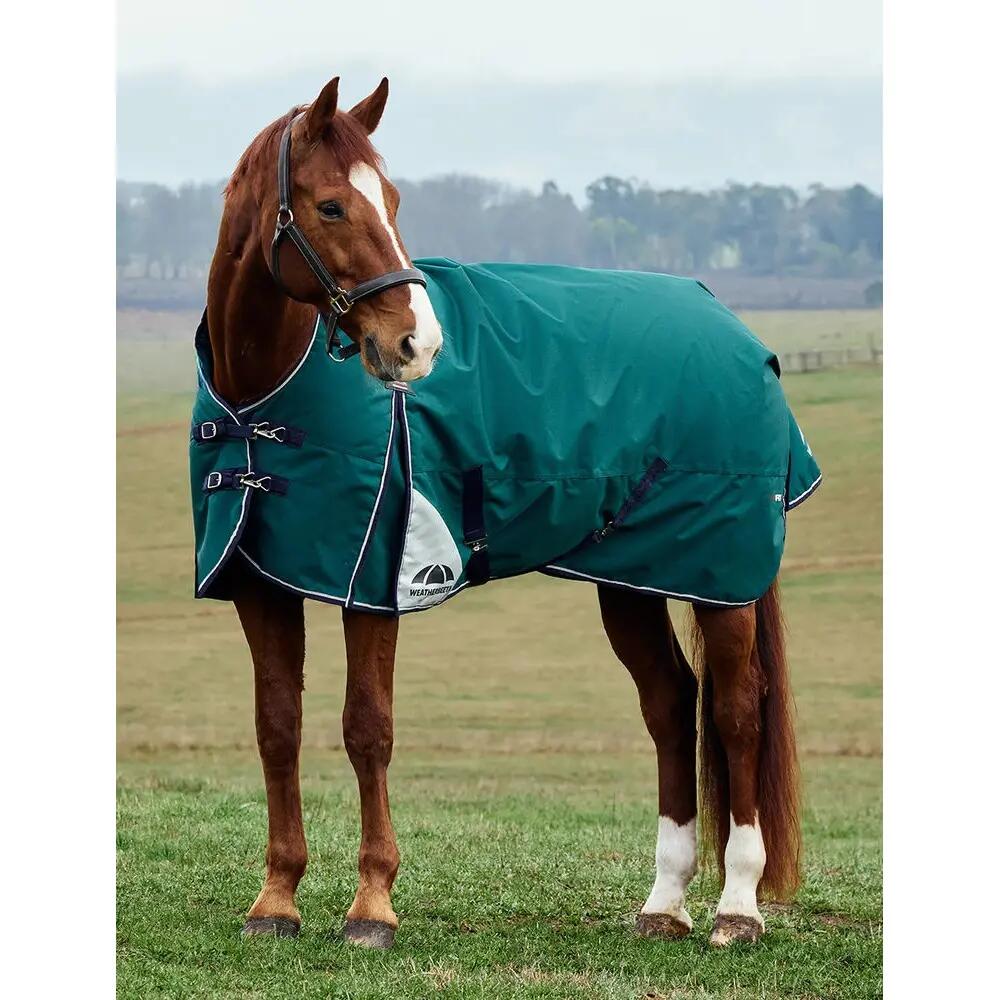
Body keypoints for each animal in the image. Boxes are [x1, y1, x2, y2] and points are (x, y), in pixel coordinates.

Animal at [201, 75, 802, 949]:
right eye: (331, 206)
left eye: (393, 199)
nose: (416, 345)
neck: (263, 399)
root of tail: (734, 327)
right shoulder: (261, 584)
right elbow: (277, 725)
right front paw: (276, 900)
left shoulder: (375, 581)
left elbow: (366, 728)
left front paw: (372, 906)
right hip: (630, 574)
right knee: (670, 703)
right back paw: (664, 903)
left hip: (719, 574)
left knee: (735, 708)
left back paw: (737, 908)